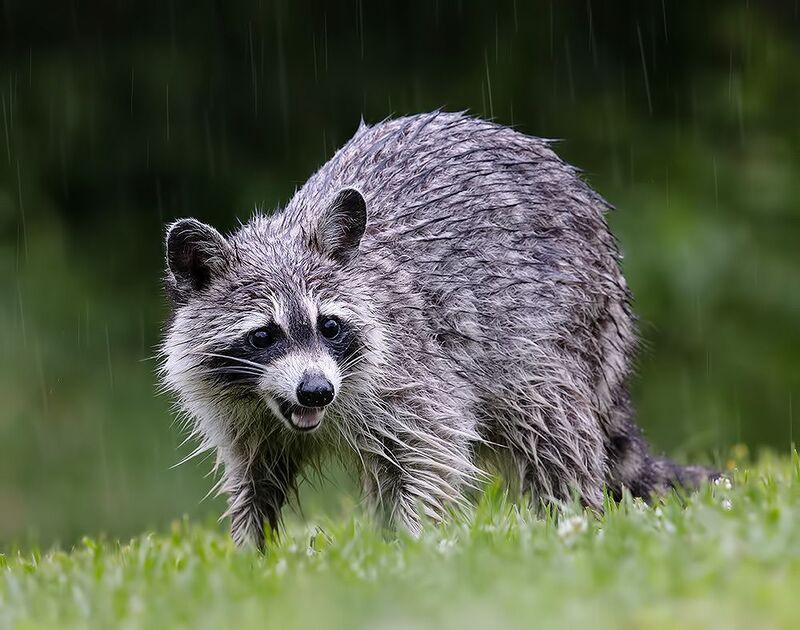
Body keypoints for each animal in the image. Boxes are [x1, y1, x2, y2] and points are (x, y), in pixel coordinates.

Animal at [160, 111, 713, 549]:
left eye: (329, 325)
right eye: (264, 335)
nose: (316, 391)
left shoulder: (413, 368)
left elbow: (432, 451)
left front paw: (415, 548)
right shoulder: (246, 421)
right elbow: (254, 481)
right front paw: (251, 556)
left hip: (559, 320)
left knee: (551, 421)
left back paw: (570, 517)